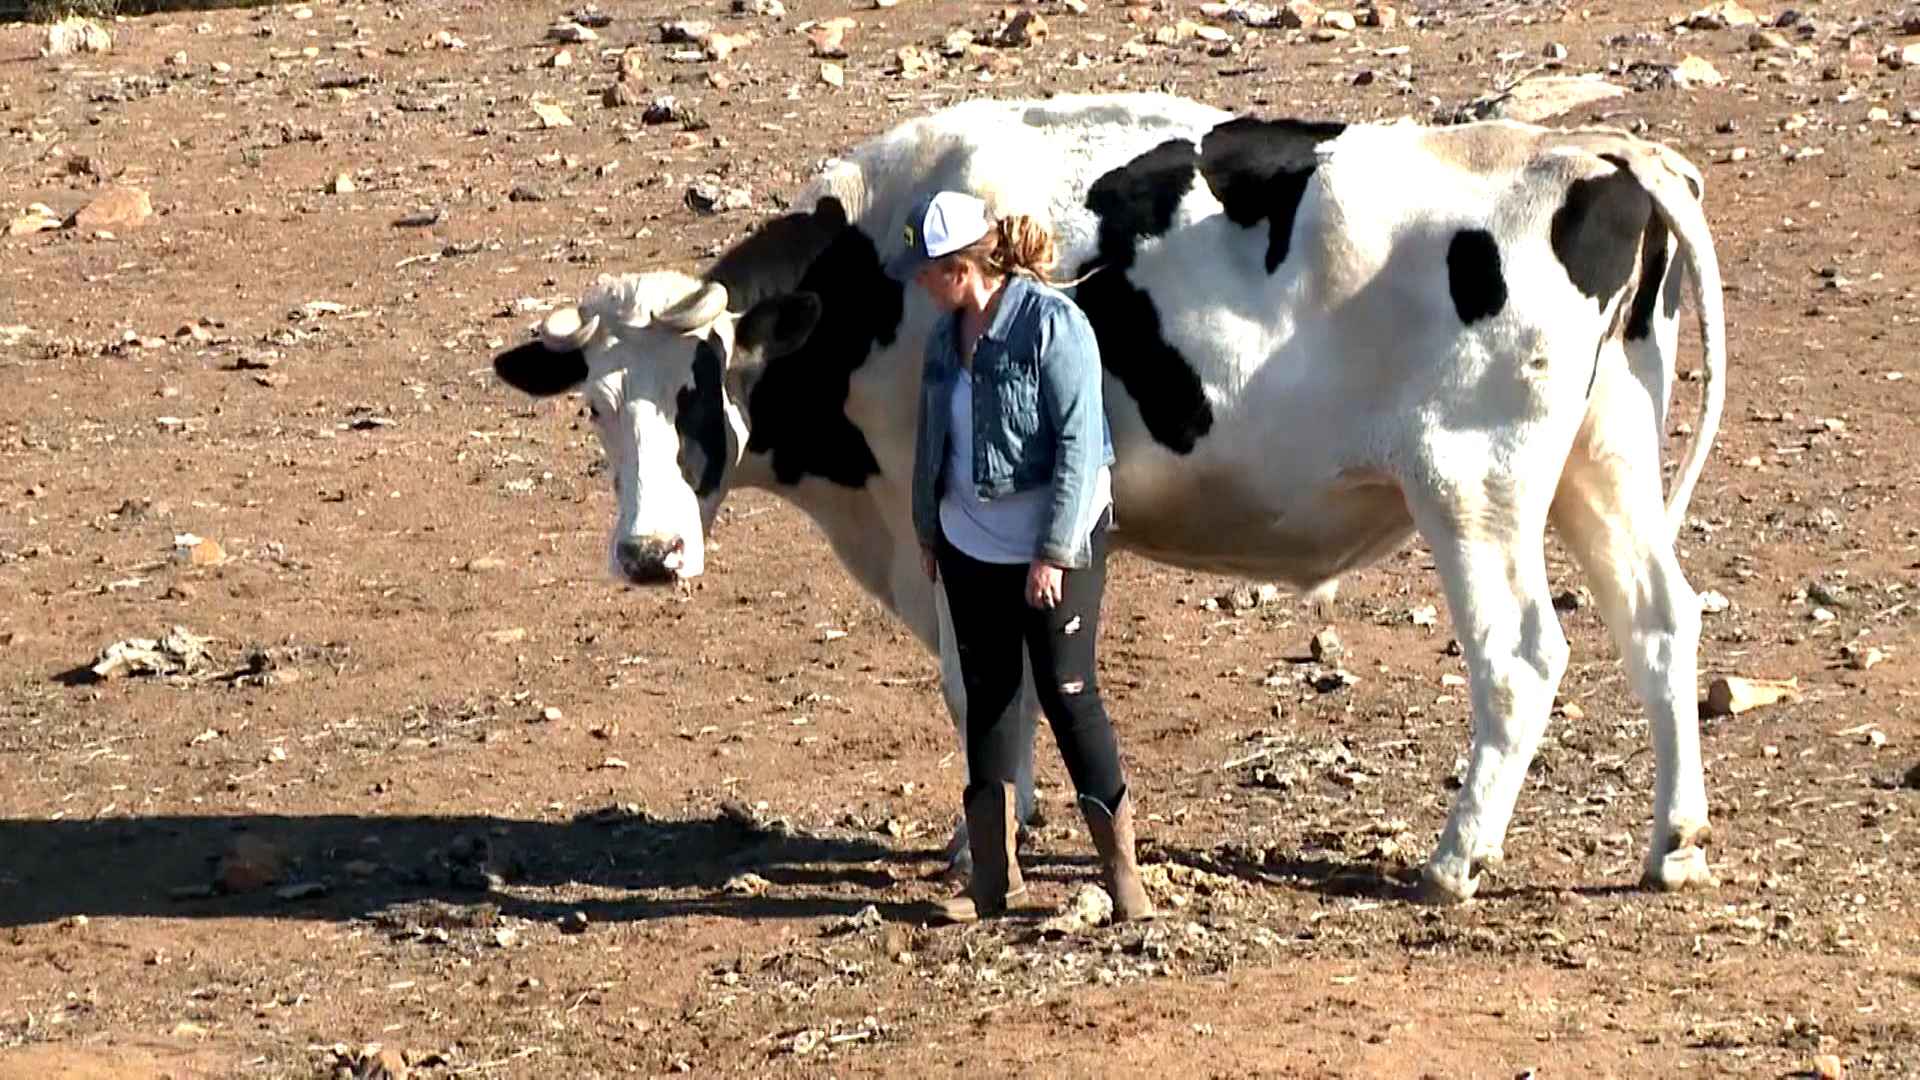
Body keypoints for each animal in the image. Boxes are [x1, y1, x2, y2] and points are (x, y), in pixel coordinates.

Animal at [490, 91, 1727, 904]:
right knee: (1660, 626)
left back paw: (1457, 857)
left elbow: (977, 683)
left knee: (1521, 656)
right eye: (595, 405)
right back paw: (1672, 843)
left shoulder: (930, 527)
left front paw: (984, 836)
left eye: (702, 388)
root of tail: (1596, 154)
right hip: (1605, 464)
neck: (882, 276)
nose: (649, 554)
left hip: (1473, 486)